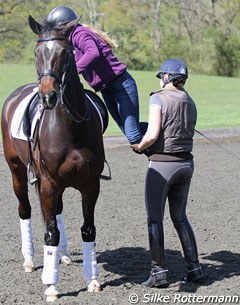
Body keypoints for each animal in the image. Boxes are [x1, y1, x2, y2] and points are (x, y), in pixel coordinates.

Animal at [0, 14, 108, 302]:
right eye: (37, 53)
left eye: (64, 52)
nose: (47, 96)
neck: (70, 128)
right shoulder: (48, 184)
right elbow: (50, 233)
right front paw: (51, 286)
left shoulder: (90, 185)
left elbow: (88, 229)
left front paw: (92, 280)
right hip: (17, 170)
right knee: (25, 209)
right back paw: (29, 259)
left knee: (56, 212)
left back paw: (64, 255)